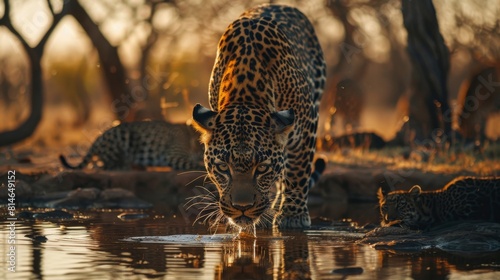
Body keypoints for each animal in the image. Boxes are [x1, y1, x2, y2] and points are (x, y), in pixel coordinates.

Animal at [59, 121, 204, 171]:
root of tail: (96, 140)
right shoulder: (173, 157)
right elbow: (195, 164)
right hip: (122, 135)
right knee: (106, 165)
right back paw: (125, 165)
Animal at [191, 3, 328, 230]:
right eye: (222, 167)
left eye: (262, 168)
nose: (242, 207)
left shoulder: (307, 125)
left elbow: (298, 172)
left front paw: (293, 216)